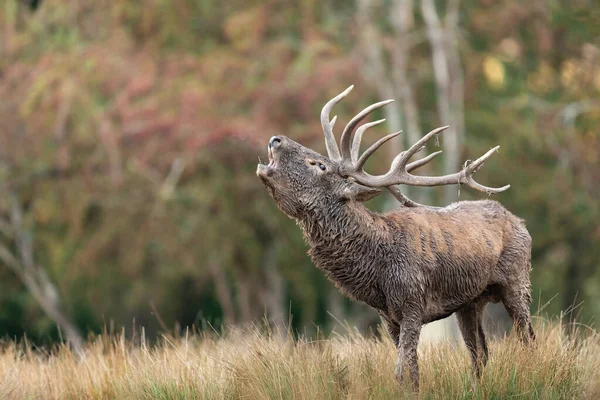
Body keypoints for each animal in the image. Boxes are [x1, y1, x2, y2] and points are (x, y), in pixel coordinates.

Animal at [256, 86, 536, 390]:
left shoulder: (412, 303)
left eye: (319, 165)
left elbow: (401, 371)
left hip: (518, 281)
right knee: (480, 353)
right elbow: (412, 371)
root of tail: (521, 222)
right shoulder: (388, 316)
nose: (275, 139)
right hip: (470, 302)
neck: (377, 271)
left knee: (528, 340)